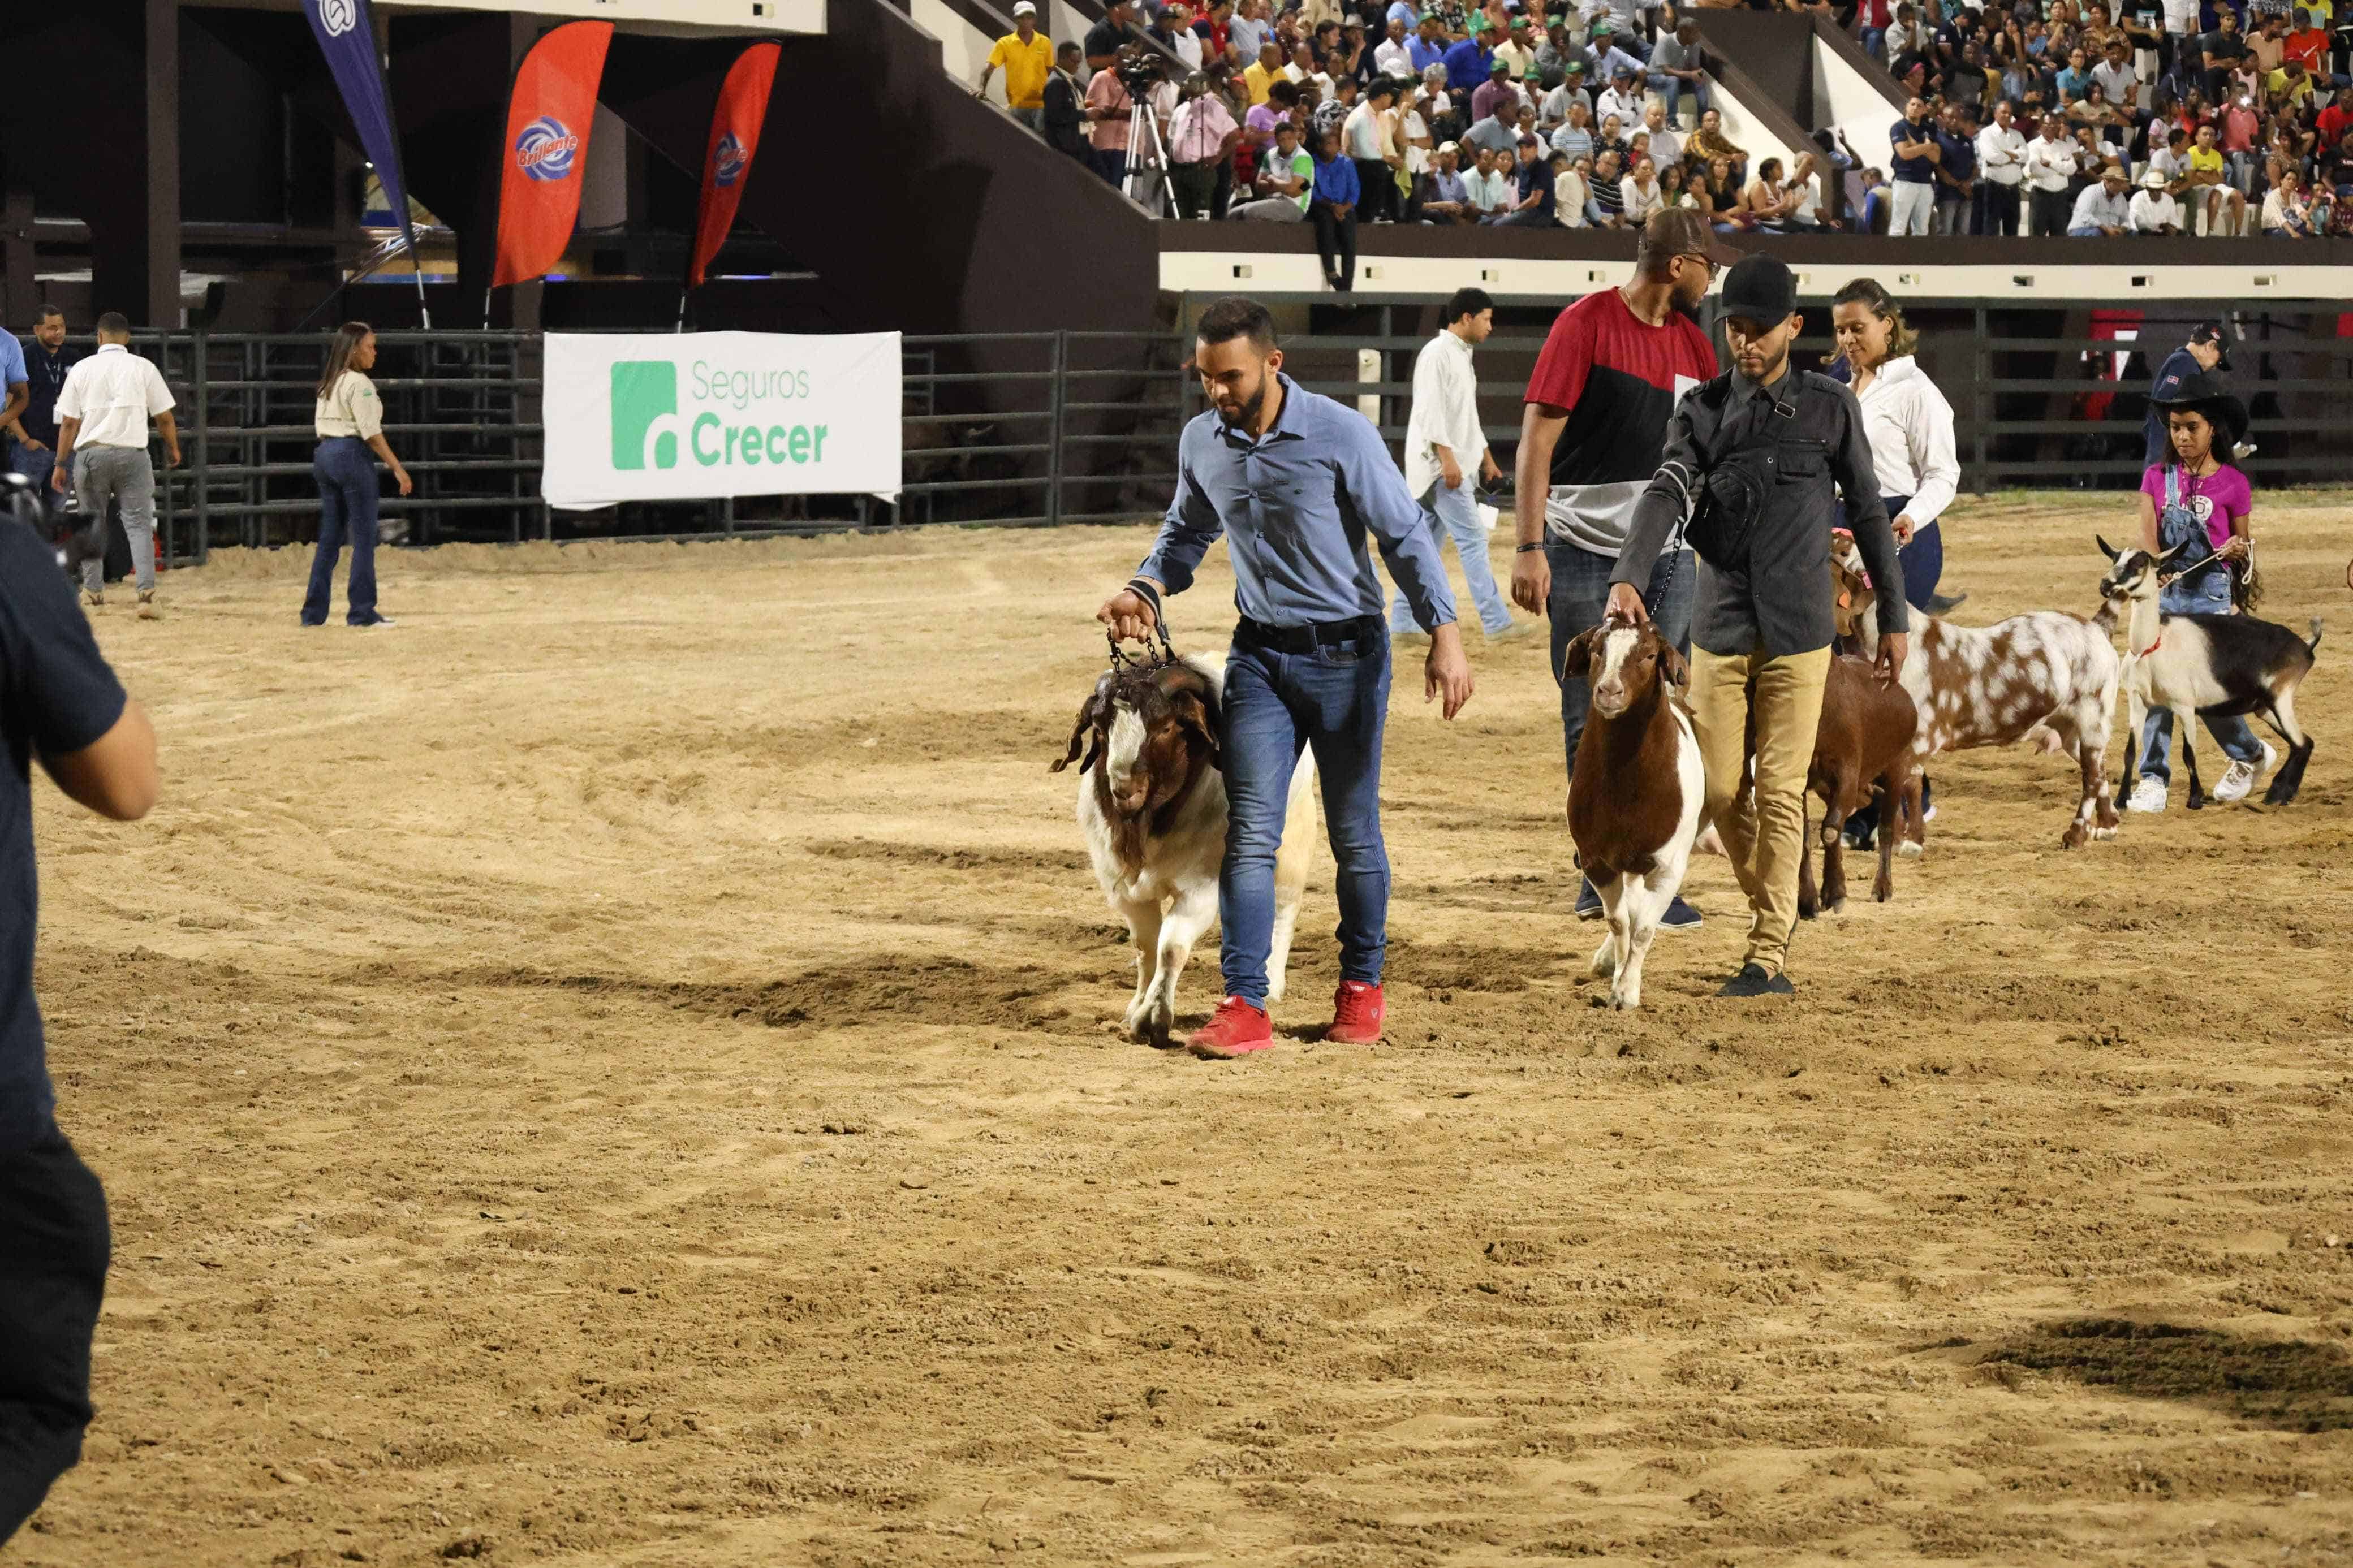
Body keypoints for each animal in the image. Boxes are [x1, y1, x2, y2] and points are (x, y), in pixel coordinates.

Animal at [1054, 658, 1317, 1048]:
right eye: (1100, 730)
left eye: (1165, 727)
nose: (1124, 790)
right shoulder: (1124, 891)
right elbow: (1146, 946)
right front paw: (1136, 1007)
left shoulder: (1201, 889)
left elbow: (1171, 948)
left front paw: (1154, 1018)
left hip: (1295, 838)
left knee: (1284, 907)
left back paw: (1271, 986)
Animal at [1571, 620, 1703, 1010]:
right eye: (1596, 650)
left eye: (1648, 655)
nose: (1609, 691)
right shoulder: (1598, 861)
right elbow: (1620, 923)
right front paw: (1617, 974)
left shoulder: (1667, 868)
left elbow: (1644, 929)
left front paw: (1626, 993)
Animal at [1835, 543, 2136, 860]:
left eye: (1842, 553)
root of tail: (2097, 627)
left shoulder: (1920, 737)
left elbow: (1911, 786)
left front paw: (1911, 843)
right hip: (2070, 732)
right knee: (2100, 772)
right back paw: (2108, 825)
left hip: (2093, 719)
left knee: (2092, 777)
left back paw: (2076, 834)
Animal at [2098, 541, 2315, 809]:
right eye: (2115, 558)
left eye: (2140, 562)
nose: (2105, 585)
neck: (2152, 647)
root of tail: (2305, 647)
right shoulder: (2138, 701)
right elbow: (2130, 752)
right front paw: (2121, 800)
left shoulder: (2185, 707)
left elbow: (2188, 754)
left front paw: (2195, 799)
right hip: (2265, 708)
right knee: (2303, 744)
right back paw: (2279, 794)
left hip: (2281, 698)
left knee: (2301, 744)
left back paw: (2278, 794)